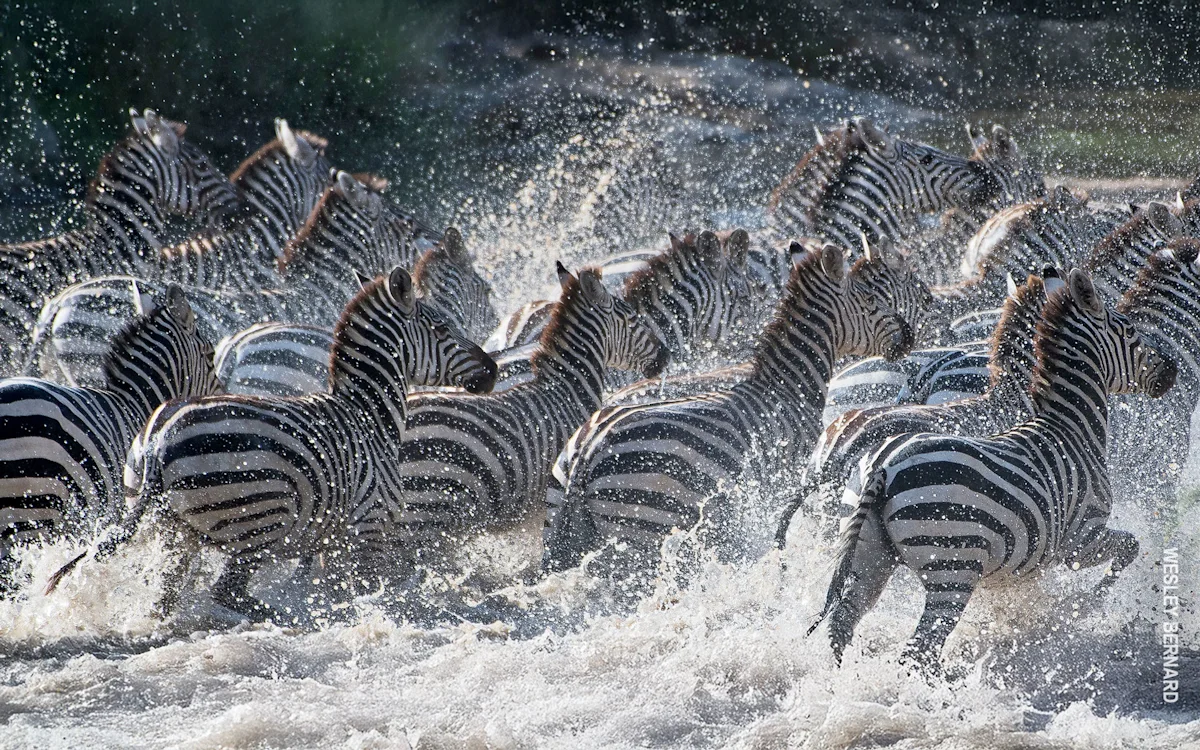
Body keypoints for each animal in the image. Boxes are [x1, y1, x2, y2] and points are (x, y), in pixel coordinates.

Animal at [45, 267, 498, 617]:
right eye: (442, 328)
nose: (493, 370)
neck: (370, 415)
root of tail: (159, 441)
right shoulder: (367, 529)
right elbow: (367, 594)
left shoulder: (334, 540)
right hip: (258, 521)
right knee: (228, 592)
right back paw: (288, 619)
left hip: (173, 536)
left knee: (167, 601)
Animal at [541, 244, 915, 575]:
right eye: (870, 300)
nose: (909, 335)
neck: (786, 388)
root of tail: (588, 449)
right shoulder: (783, 483)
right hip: (644, 527)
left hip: (559, 516)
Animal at [812, 268, 1176, 668]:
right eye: (1129, 329)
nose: (1171, 371)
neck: (1070, 427)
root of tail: (884, 467)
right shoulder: (1081, 538)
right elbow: (1130, 549)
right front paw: (1082, 606)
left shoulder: (1027, 562)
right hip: (951, 569)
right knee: (919, 649)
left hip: (867, 554)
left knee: (843, 622)